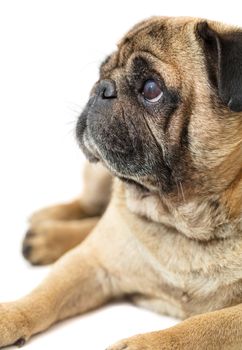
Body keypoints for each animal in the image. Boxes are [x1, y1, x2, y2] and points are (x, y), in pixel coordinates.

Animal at [0, 15, 242, 350]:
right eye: (102, 71)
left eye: (151, 89)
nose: (102, 88)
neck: (184, 219)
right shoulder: (92, 264)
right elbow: (42, 297)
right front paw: (8, 314)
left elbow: (202, 327)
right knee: (88, 208)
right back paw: (46, 225)